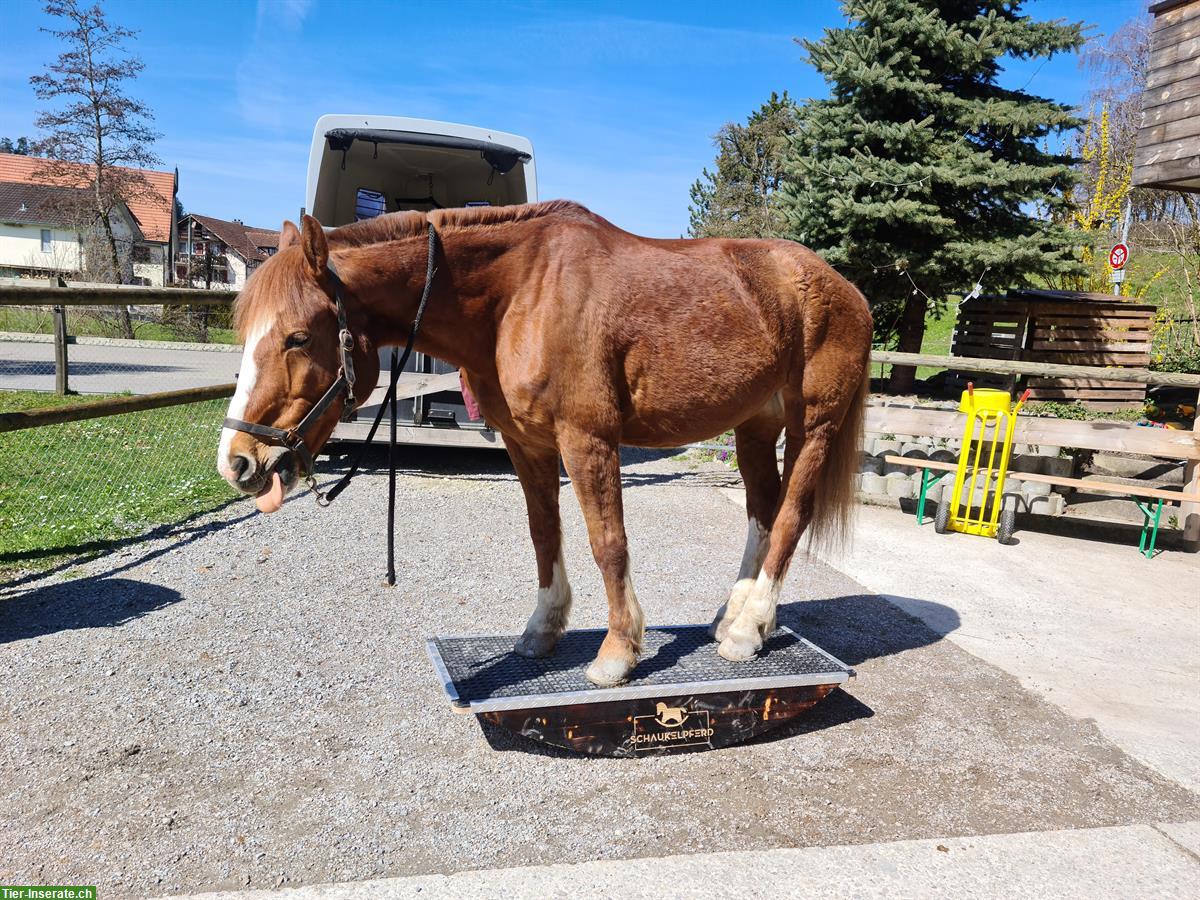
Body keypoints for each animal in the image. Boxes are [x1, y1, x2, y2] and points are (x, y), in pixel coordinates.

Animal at [218, 200, 873, 686]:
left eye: (298, 337)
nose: (239, 463)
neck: (518, 295)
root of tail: (847, 291)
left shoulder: (588, 440)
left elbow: (608, 542)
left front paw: (618, 652)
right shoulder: (526, 444)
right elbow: (543, 533)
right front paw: (543, 628)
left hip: (812, 428)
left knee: (789, 518)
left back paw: (747, 629)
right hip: (754, 427)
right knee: (761, 513)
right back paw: (732, 616)